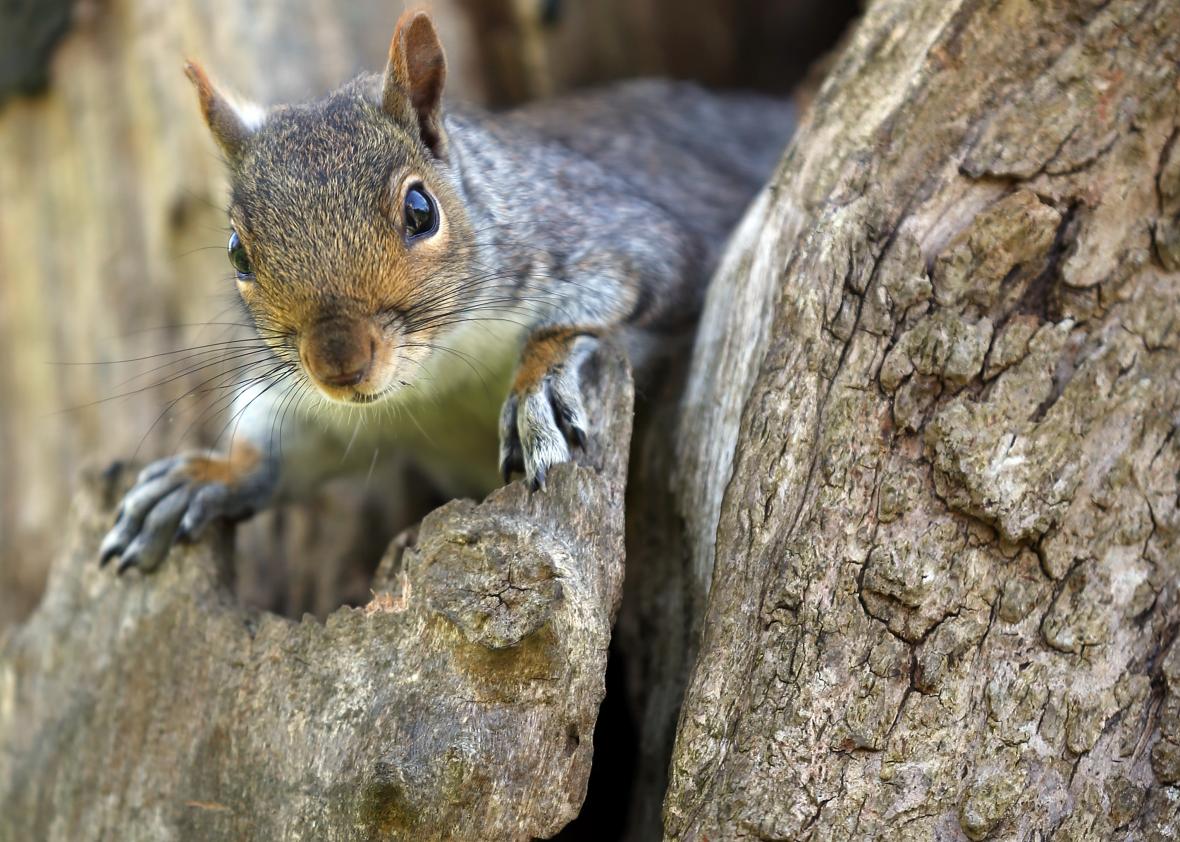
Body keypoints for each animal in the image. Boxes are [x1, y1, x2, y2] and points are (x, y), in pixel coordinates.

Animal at [99, 9, 792, 570]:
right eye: (238, 253)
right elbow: (286, 447)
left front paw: (537, 384)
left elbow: (599, 307)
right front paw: (206, 475)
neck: (437, 375)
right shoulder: (326, 409)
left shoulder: (623, 241)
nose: (338, 364)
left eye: (421, 211)